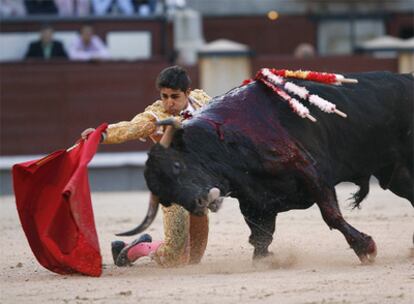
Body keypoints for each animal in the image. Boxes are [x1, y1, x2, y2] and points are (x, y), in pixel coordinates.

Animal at [144, 72, 412, 264]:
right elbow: (260, 236)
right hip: (398, 175)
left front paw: (366, 248)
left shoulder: (311, 173)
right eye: (165, 199)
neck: (228, 140)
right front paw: (264, 260)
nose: (199, 204)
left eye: (177, 165)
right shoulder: (255, 200)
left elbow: (331, 215)